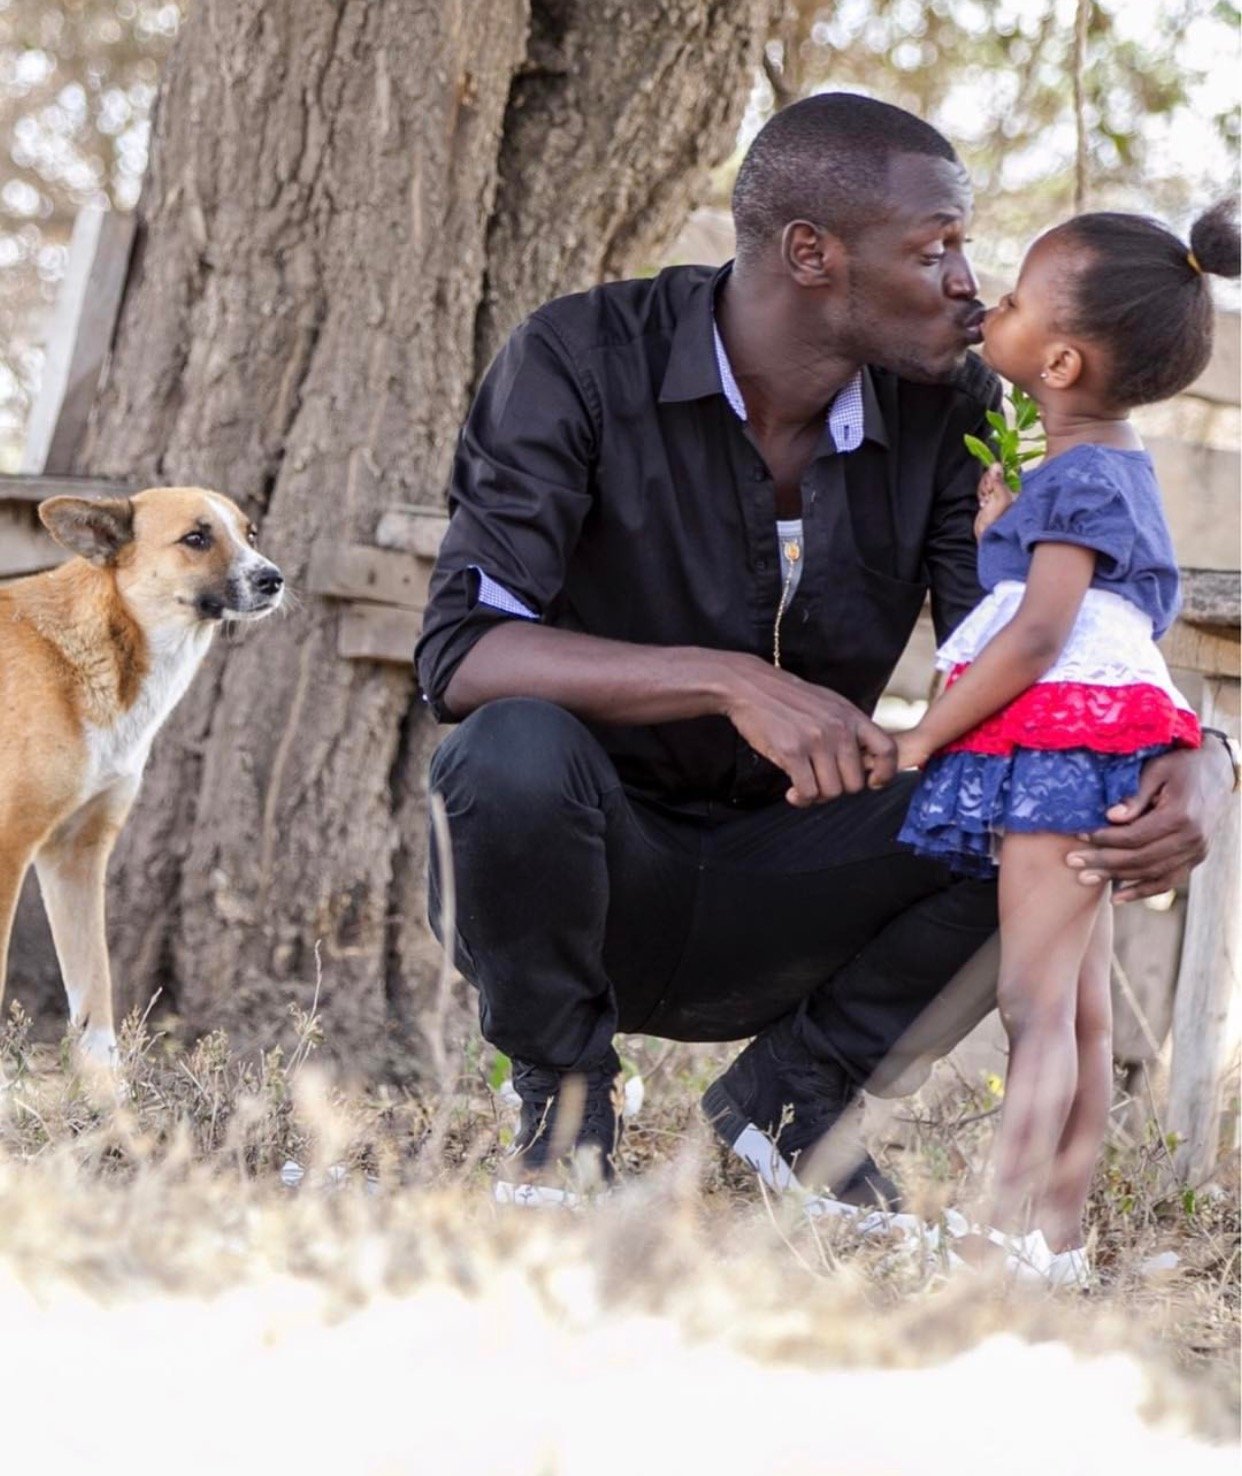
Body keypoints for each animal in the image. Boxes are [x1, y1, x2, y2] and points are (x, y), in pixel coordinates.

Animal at [0, 490, 283, 1068]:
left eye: (250, 534)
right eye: (196, 538)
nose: (274, 579)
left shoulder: (75, 856)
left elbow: (95, 995)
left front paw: (107, 1092)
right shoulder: (9, 847)